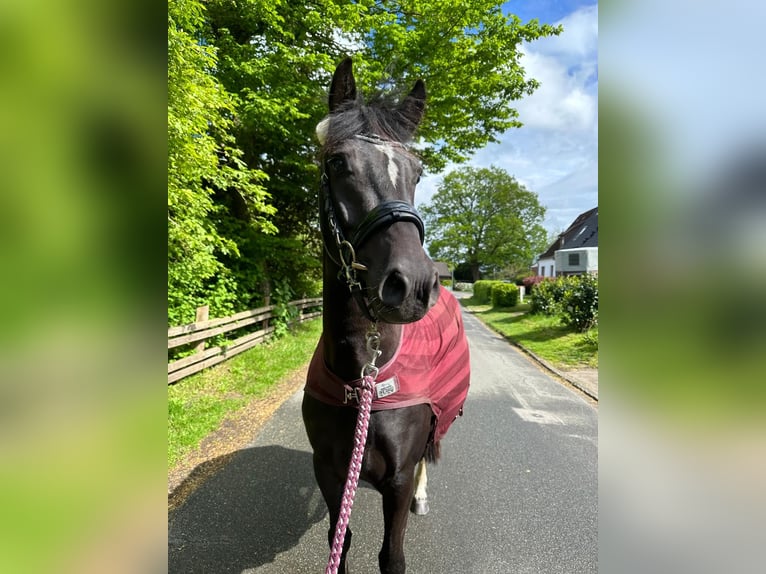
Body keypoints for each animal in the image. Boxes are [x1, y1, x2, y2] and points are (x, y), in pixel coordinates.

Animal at [304, 59, 472, 574]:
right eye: (338, 163)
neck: (363, 376)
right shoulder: (328, 469)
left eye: (417, 173)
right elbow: (341, 542)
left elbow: (391, 556)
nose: (413, 285)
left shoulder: (396, 478)